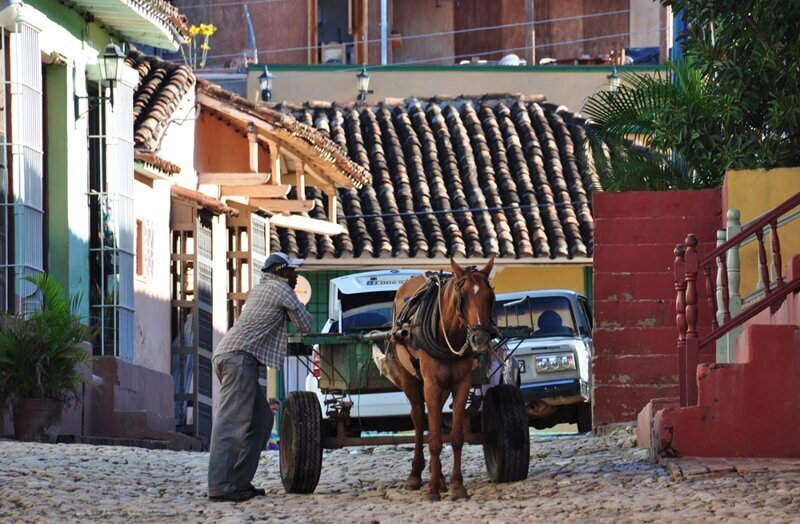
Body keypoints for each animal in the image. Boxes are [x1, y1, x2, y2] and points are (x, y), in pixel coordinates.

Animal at [390, 256, 496, 502]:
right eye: (462, 298)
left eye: (490, 297)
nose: (479, 338)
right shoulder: (430, 384)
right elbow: (434, 439)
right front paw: (431, 490)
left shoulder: (461, 384)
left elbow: (455, 437)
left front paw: (457, 485)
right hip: (410, 379)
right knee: (419, 419)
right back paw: (416, 475)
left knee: (433, 419)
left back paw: (438, 477)